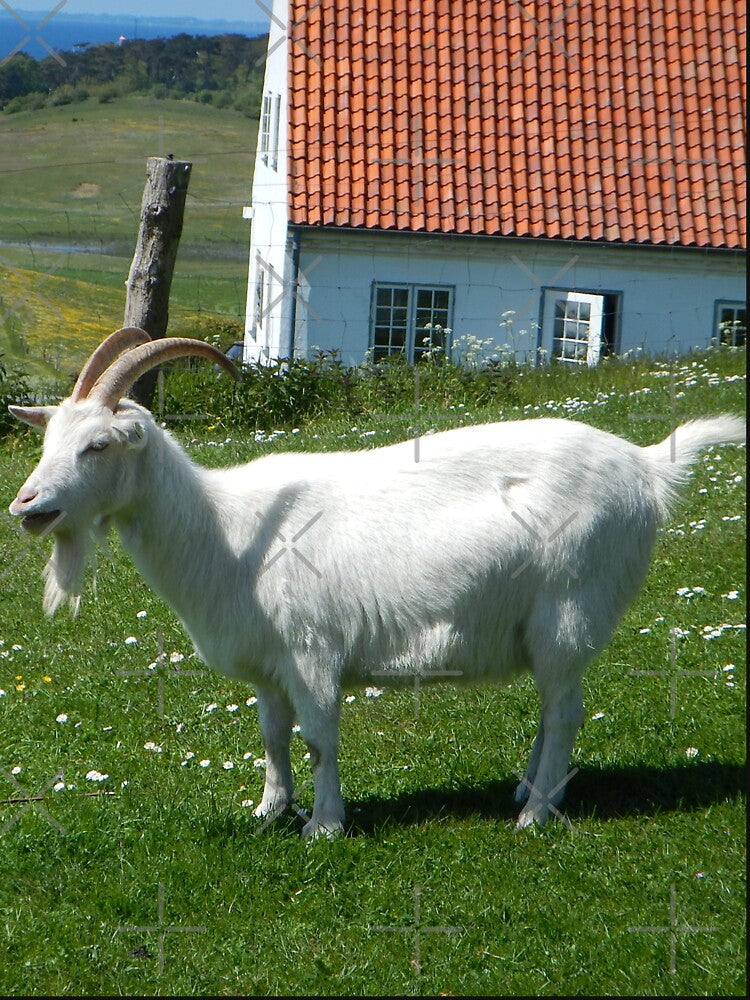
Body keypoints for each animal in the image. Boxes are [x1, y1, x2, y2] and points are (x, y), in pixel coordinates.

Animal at [8, 328, 745, 836]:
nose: (26, 505)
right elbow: (272, 737)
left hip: (571, 606)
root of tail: (646, 465)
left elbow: (317, 737)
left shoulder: (311, 650)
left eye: (98, 445)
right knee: (550, 706)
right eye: (48, 442)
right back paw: (531, 791)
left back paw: (534, 816)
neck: (224, 528)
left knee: (564, 710)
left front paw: (325, 825)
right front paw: (270, 810)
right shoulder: (268, 665)